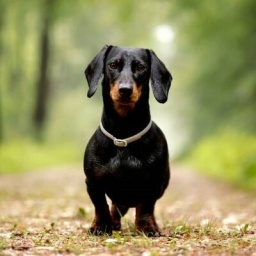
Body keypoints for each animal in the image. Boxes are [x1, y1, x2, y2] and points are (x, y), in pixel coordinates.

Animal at [84, 45, 172, 236]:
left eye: (141, 67)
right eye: (112, 65)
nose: (125, 90)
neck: (123, 136)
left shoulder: (153, 182)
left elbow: (146, 207)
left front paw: (147, 227)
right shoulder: (93, 182)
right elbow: (100, 206)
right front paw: (100, 226)